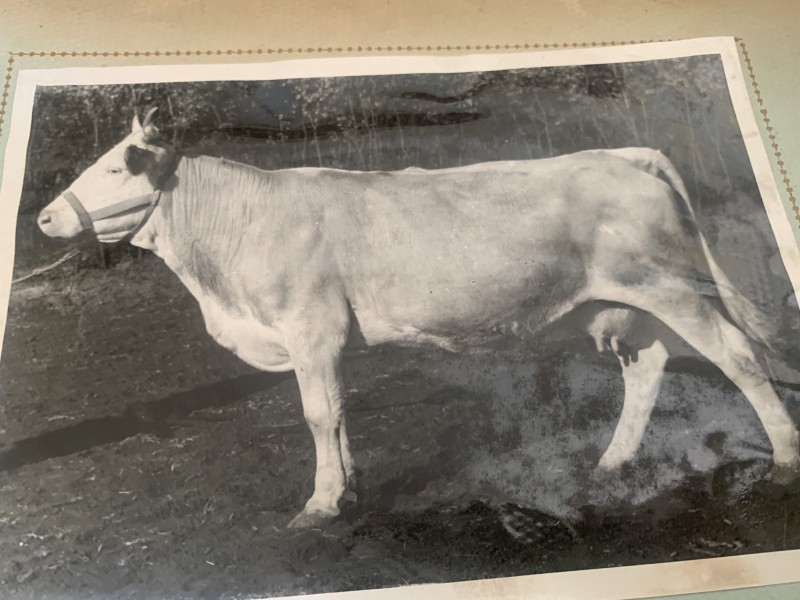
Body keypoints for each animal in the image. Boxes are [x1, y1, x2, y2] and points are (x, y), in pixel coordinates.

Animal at [37, 108, 800, 528]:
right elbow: (339, 411)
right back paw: (613, 462)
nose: (43, 217)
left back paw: (785, 459)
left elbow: (317, 413)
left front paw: (320, 505)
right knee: (648, 367)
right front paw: (349, 489)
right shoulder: (327, 340)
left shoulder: (310, 328)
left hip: (671, 288)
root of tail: (621, 154)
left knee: (738, 359)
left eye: (116, 169)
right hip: (628, 304)